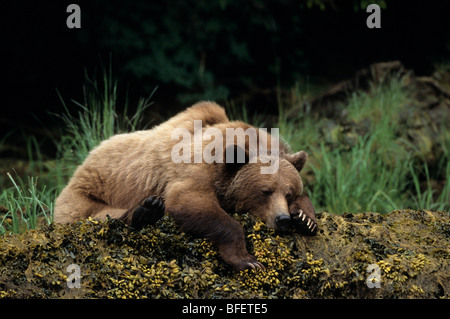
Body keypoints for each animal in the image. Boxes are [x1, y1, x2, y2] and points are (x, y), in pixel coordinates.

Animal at [55, 101, 316, 272]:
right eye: (265, 191)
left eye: (289, 192)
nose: (282, 220)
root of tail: (82, 164)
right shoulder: (196, 169)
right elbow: (187, 202)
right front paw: (248, 260)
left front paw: (305, 218)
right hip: (83, 197)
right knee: (102, 216)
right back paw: (146, 210)